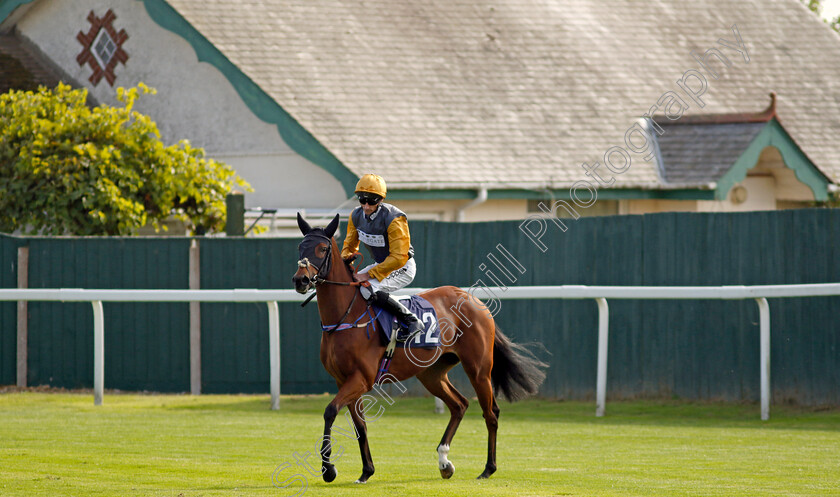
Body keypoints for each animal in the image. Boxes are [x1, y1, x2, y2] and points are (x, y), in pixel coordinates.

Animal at [292, 212, 548, 480]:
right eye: (300, 247)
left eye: (322, 248)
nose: (300, 280)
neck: (347, 316)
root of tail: (474, 300)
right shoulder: (343, 380)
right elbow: (359, 425)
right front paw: (366, 471)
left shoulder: (361, 378)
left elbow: (330, 411)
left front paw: (328, 469)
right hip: (432, 373)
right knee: (459, 404)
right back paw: (444, 461)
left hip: (478, 370)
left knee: (491, 413)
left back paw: (488, 468)